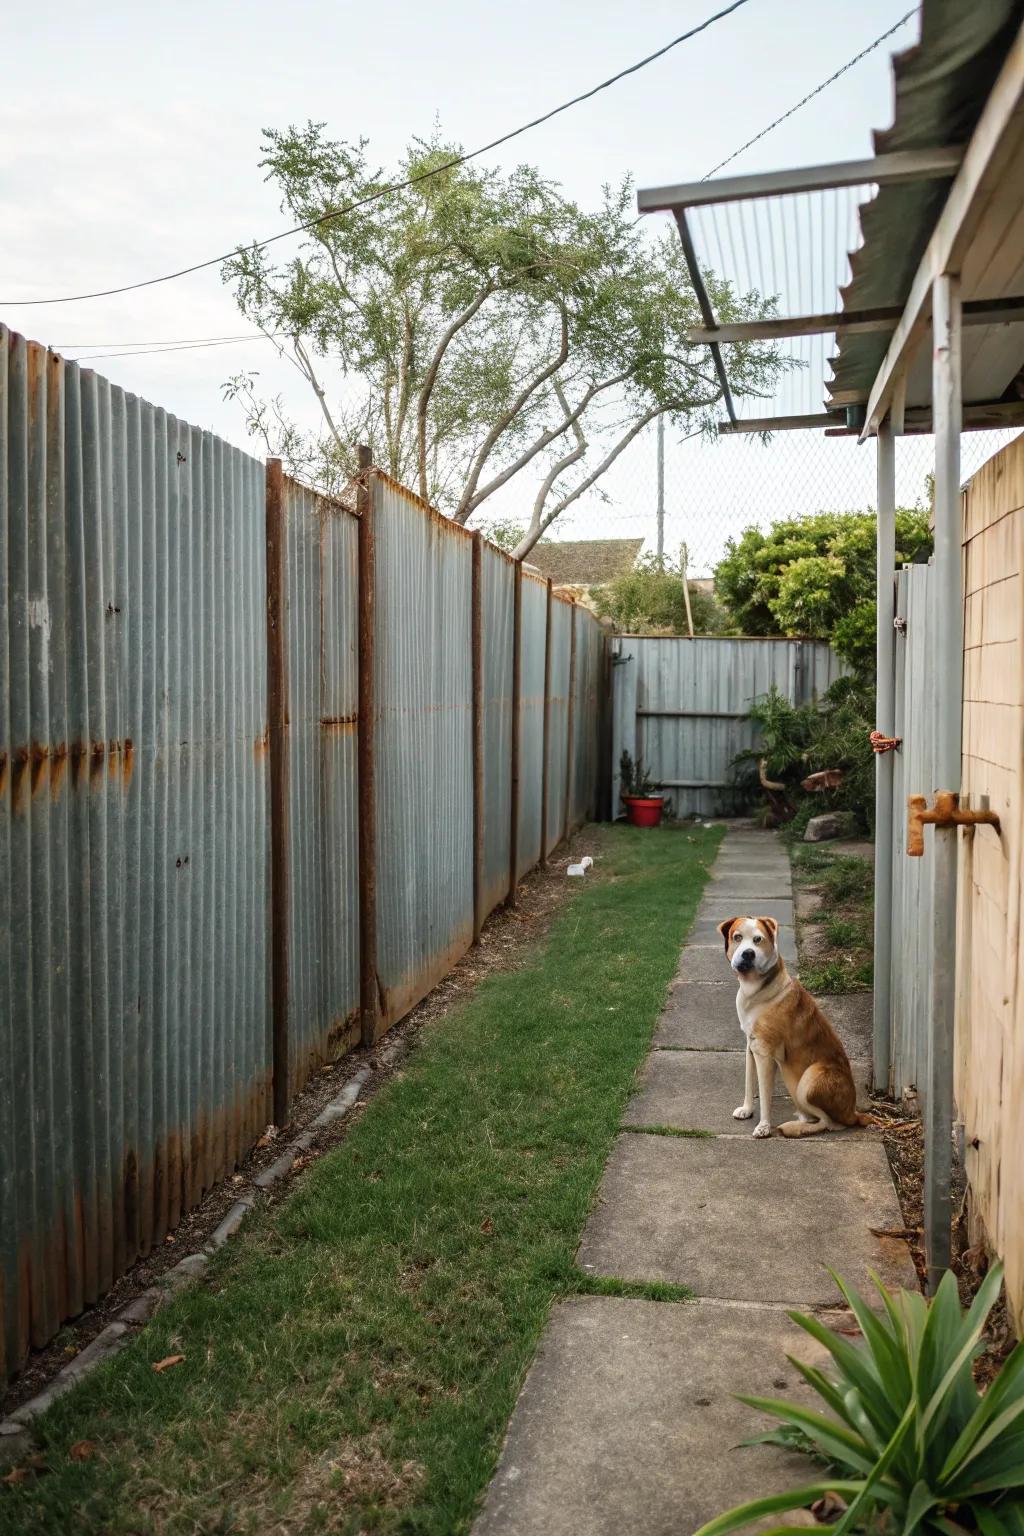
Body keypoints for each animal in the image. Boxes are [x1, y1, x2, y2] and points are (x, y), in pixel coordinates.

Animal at [718, 909, 872, 1142]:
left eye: (758, 940)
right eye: (737, 937)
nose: (748, 954)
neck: (756, 989)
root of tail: (854, 1113)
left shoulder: (764, 1053)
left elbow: (765, 1094)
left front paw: (763, 1127)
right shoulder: (750, 1047)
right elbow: (749, 1082)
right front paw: (746, 1110)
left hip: (809, 1080)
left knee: (830, 1122)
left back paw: (794, 1127)